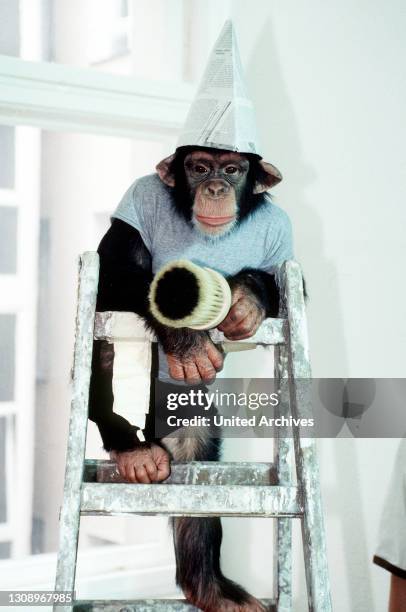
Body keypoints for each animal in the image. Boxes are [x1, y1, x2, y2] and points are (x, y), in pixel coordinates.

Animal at [89, 145, 294, 612]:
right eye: (198, 167)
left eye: (232, 168)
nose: (215, 186)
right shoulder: (136, 201)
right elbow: (115, 272)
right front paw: (187, 339)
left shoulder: (281, 232)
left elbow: (282, 286)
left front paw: (247, 299)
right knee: (109, 342)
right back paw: (132, 448)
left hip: (186, 415)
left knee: (197, 470)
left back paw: (210, 588)